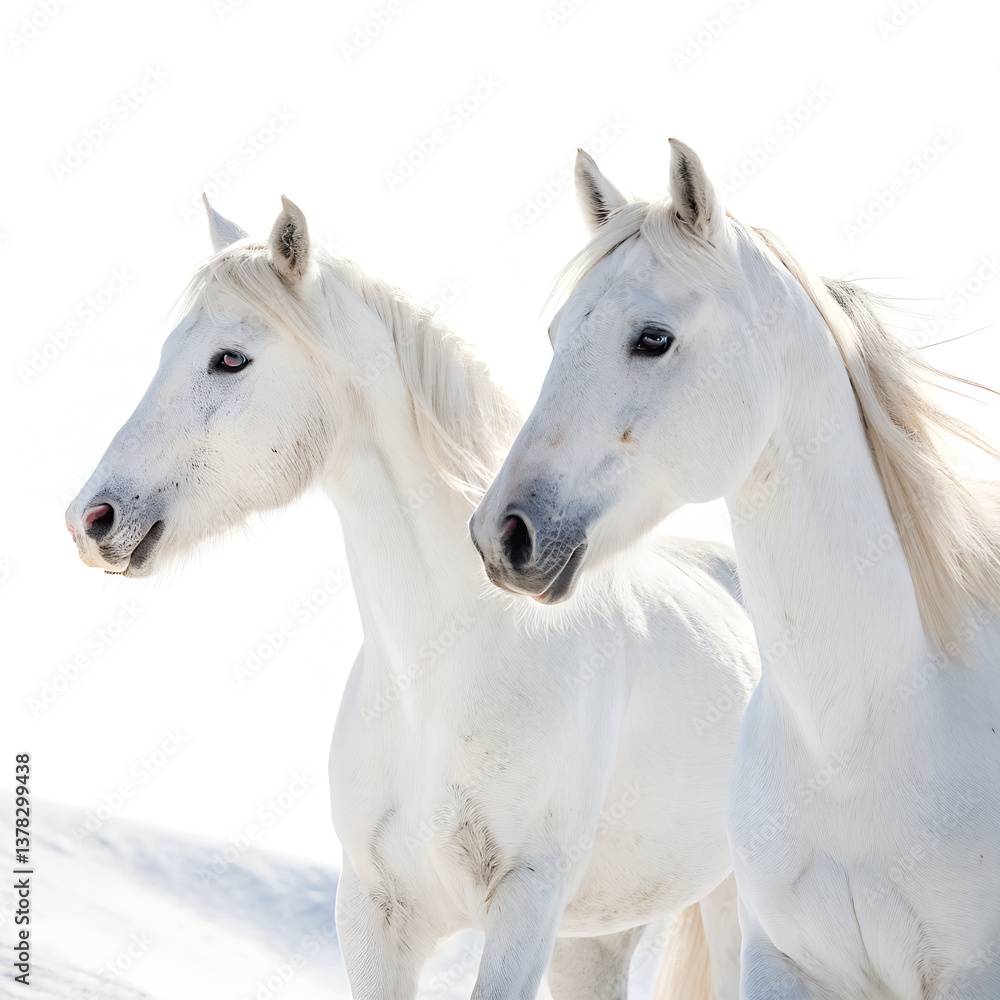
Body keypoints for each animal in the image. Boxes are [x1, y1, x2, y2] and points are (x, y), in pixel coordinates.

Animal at [64, 195, 761, 1000]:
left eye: (230, 358)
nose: (91, 518)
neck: (444, 669)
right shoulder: (373, 913)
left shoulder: (525, 901)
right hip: (598, 939)